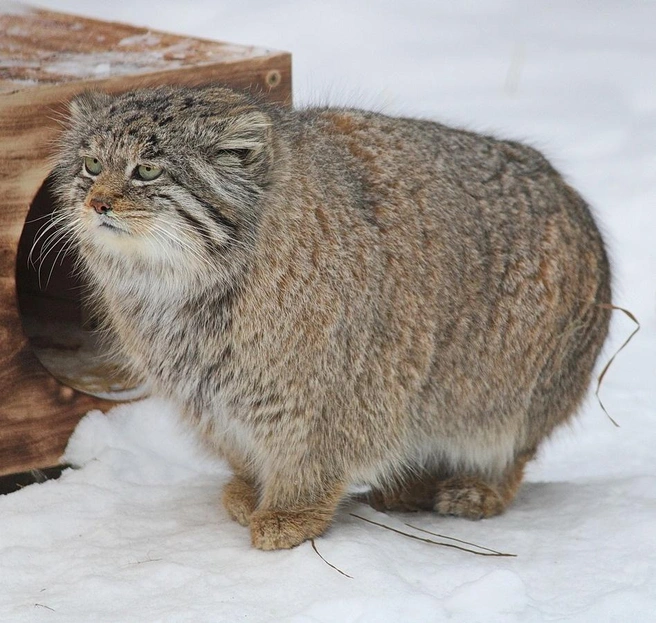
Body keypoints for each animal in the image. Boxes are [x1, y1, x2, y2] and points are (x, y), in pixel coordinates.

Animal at [53, 84, 612, 552]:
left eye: (147, 171)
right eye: (92, 163)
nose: (96, 202)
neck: (187, 286)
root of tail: (575, 200)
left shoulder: (336, 385)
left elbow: (309, 452)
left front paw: (290, 511)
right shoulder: (209, 392)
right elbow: (240, 444)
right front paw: (250, 488)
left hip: (507, 389)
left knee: (512, 449)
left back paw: (479, 488)